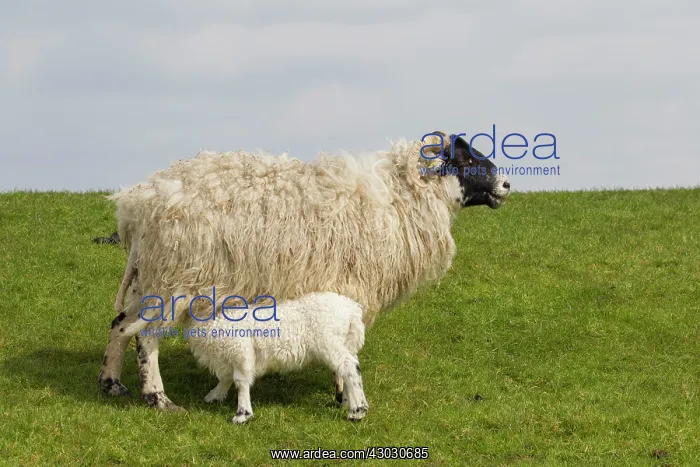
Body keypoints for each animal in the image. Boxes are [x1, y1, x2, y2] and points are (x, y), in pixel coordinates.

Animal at [183, 291, 368, 423]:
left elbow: (240, 381)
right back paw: (350, 402)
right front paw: (215, 395)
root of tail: (351, 308)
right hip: (345, 343)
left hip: (330, 342)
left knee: (349, 367)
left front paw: (242, 414)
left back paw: (358, 411)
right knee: (350, 368)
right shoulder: (227, 357)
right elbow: (226, 378)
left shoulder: (241, 352)